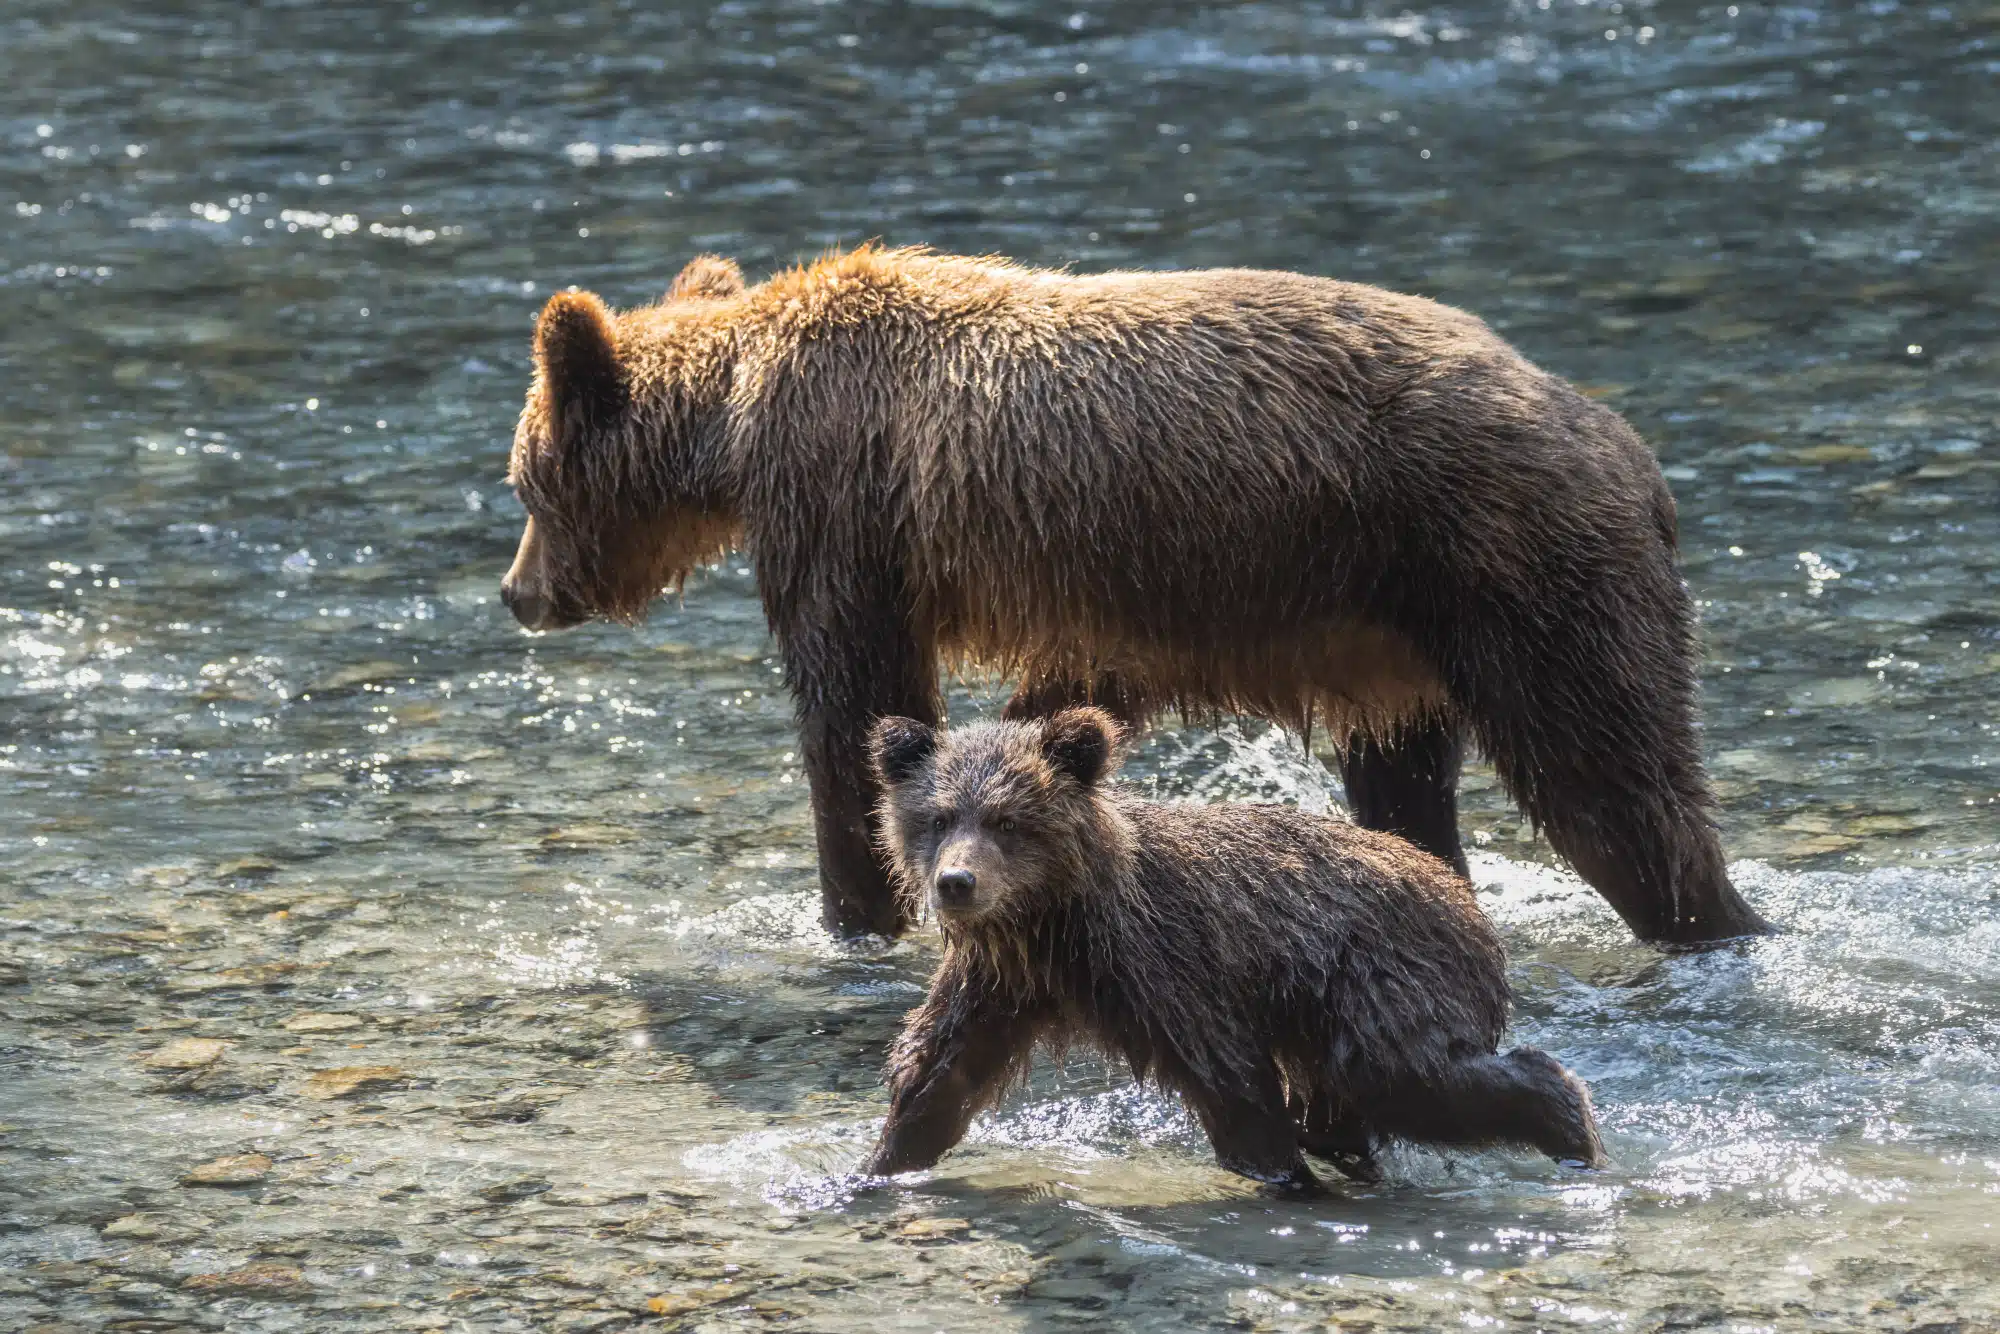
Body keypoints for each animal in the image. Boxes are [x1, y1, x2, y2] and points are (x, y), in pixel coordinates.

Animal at [499, 245, 1769, 946]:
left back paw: (1711, 917)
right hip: (1392, 631)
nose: (516, 592)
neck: (736, 419)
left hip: (1513, 563)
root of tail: (1633, 456)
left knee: (1610, 779)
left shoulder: (842, 501)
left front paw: (857, 908)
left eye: (521, 478)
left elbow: (850, 698)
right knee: (1405, 784)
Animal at [859, 708, 1607, 1193]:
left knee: (1415, 1078)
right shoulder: (1002, 979)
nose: (957, 882)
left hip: (1381, 980)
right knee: (1348, 1104)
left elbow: (1232, 1083)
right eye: (937, 817)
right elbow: (941, 1072)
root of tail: (1470, 904)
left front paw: (1285, 1179)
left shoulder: (1167, 964)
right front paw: (877, 1165)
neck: (1057, 920)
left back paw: (1573, 1131)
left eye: (1008, 820)